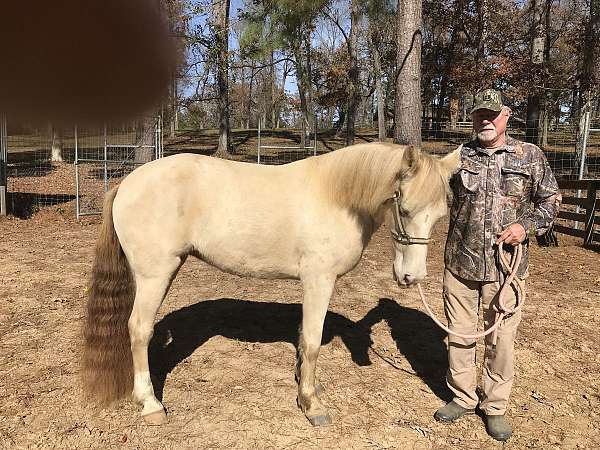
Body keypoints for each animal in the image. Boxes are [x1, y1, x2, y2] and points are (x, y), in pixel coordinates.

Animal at [83, 142, 460, 428]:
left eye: (441, 216)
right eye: (404, 208)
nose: (412, 277)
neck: (336, 196)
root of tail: (127, 183)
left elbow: (304, 340)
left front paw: (307, 388)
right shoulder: (319, 280)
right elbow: (312, 342)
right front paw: (311, 405)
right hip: (155, 275)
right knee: (139, 329)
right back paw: (150, 404)